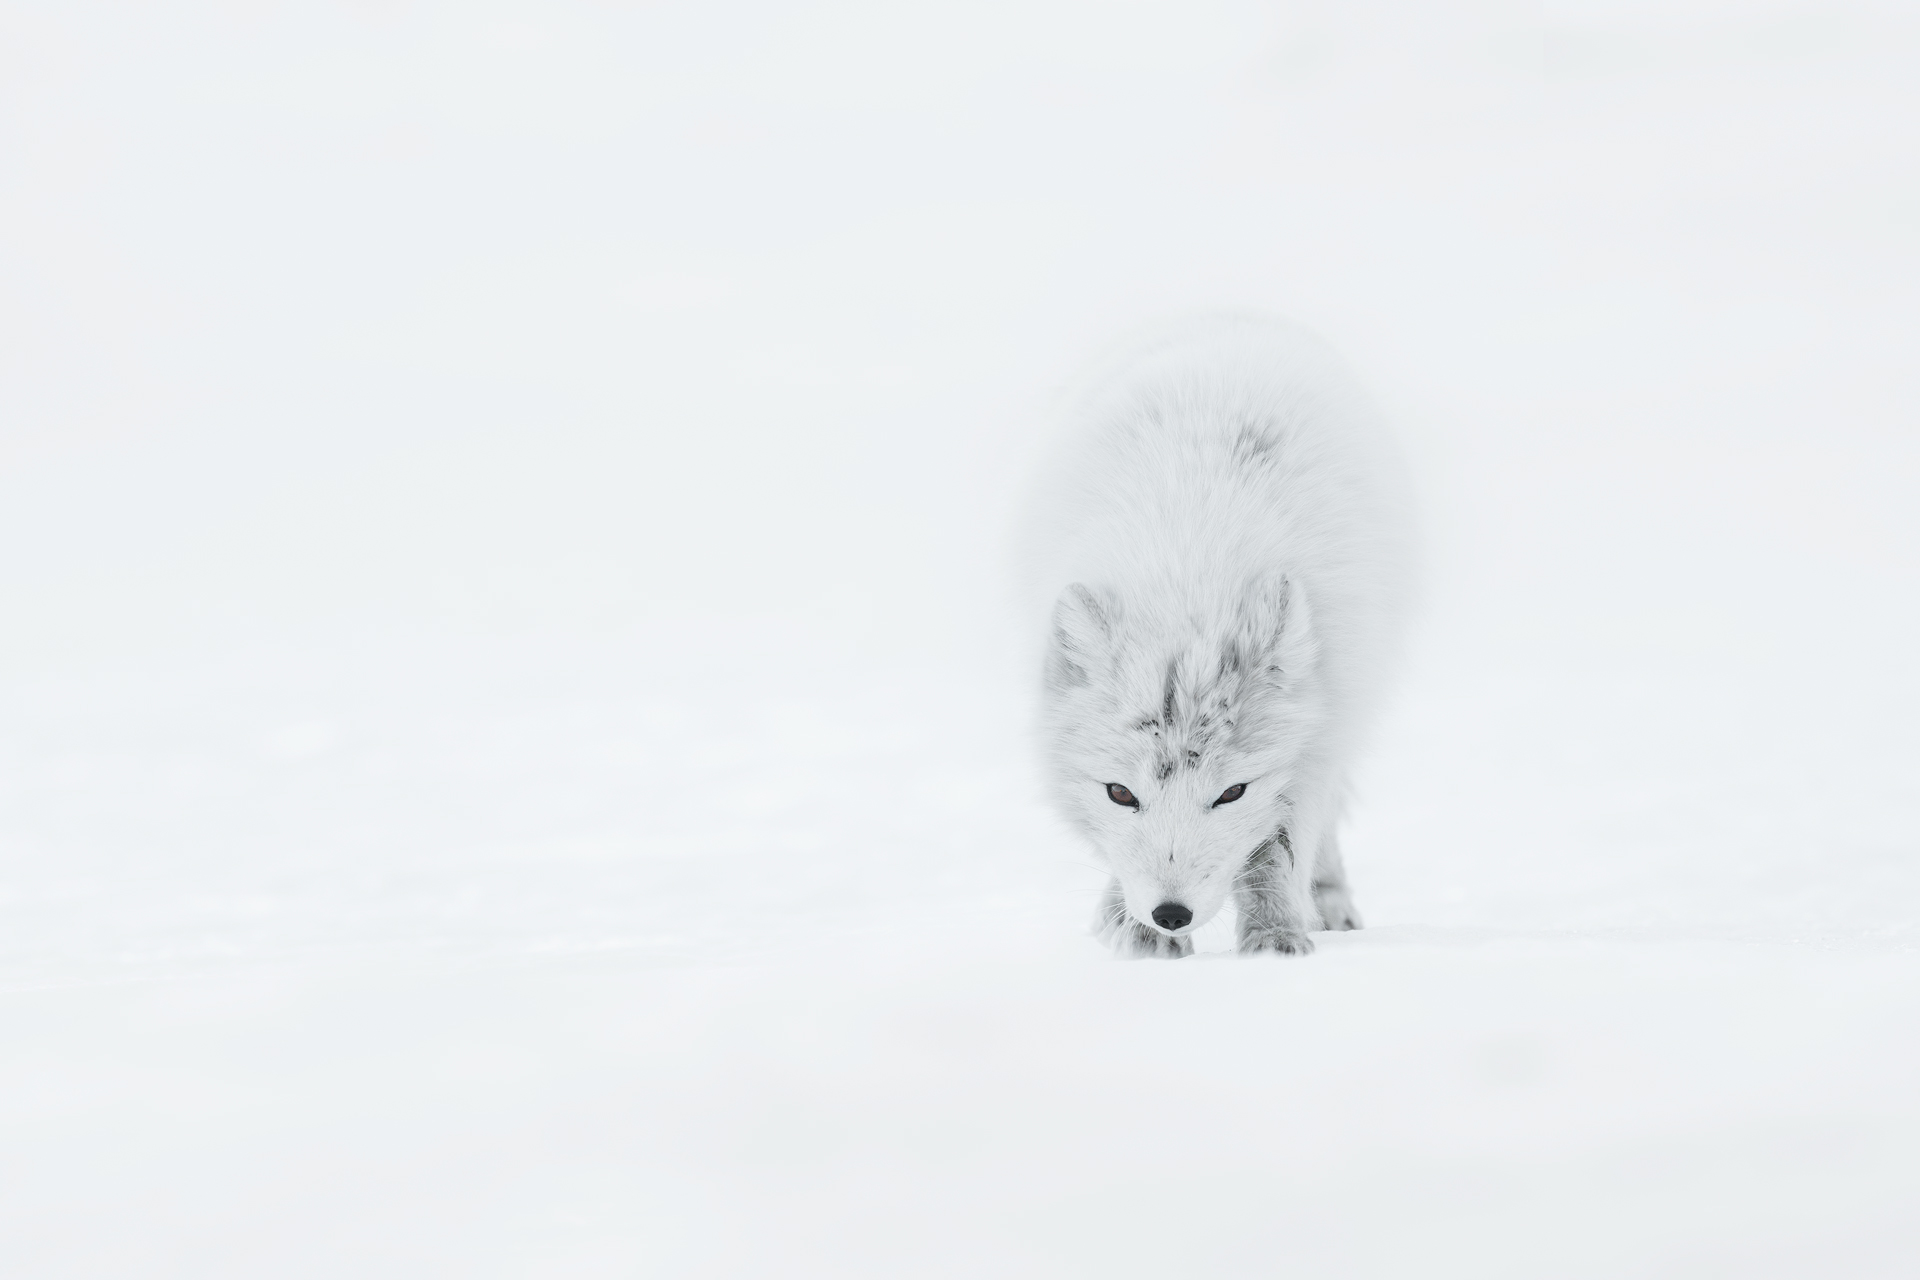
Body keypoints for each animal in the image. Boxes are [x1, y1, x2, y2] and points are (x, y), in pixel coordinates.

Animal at [1024, 315, 1415, 957]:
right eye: (1119, 793)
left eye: (1231, 793)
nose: (1171, 914)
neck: (1189, 573)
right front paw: (1131, 926)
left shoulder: (1314, 747)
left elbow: (1275, 848)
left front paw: (1275, 933)